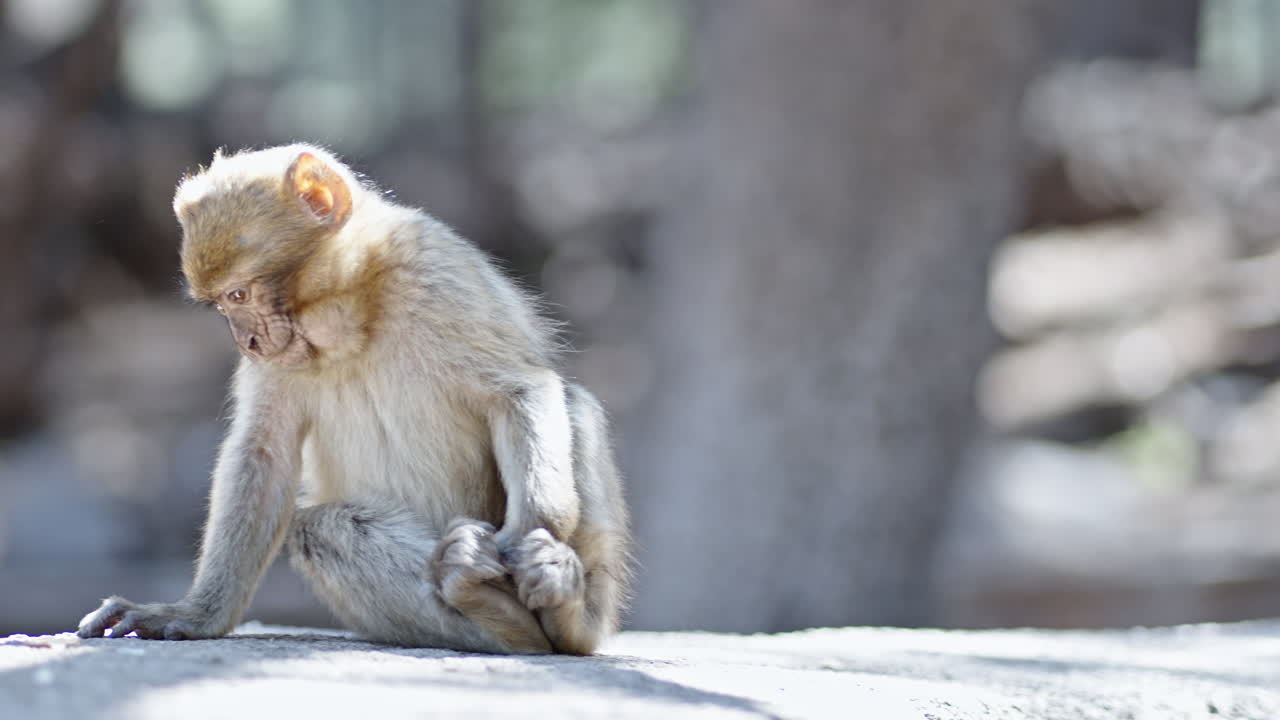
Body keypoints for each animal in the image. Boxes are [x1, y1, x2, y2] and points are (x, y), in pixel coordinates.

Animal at [75, 144, 632, 655]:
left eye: (238, 295)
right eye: (221, 305)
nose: (247, 342)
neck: (353, 315)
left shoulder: (432, 268)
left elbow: (519, 390)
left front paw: (531, 533)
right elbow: (264, 454)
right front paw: (195, 613)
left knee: (574, 402)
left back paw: (567, 608)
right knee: (320, 528)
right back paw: (492, 607)